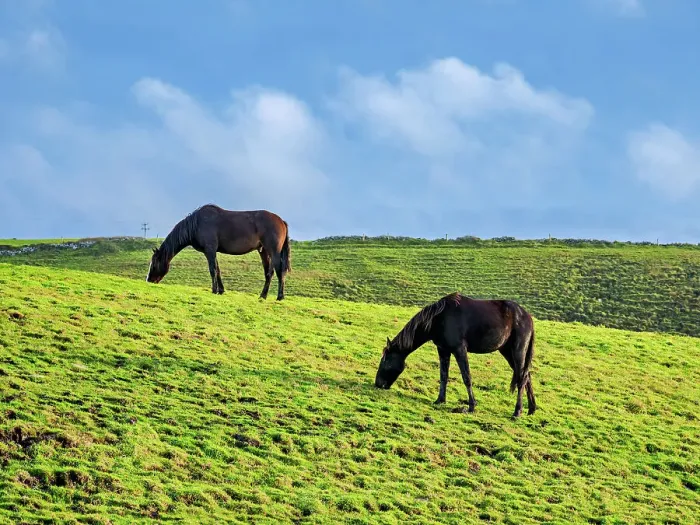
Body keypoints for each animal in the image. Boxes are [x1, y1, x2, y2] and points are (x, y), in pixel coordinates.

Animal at [146, 204, 291, 300]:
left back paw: (280, 296)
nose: (148, 280)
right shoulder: (212, 251)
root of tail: (281, 221)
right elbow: (218, 270)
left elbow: (213, 270)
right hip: (264, 251)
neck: (197, 224)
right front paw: (221, 290)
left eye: (154, 264)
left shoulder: (210, 250)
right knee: (269, 273)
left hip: (273, 251)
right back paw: (263, 296)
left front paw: (214, 290)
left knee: (280, 270)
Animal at [374, 292, 537, 418]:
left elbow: (467, 377)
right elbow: (443, 376)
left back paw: (517, 412)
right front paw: (440, 400)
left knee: (522, 378)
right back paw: (531, 409)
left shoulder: (459, 350)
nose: (378, 384)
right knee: (526, 376)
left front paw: (471, 406)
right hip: (507, 352)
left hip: (518, 351)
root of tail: (527, 316)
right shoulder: (443, 350)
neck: (439, 319)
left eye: (386, 361)